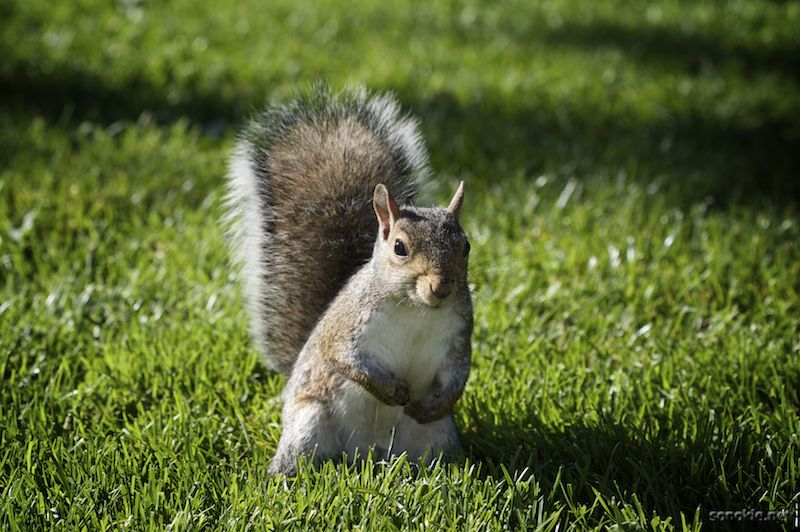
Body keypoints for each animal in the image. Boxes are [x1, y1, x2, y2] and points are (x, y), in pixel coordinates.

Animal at [225, 85, 472, 476]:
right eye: (399, 247)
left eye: (466, 246)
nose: (442, 287)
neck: (416, 310)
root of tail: (368, 453)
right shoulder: (346, 325)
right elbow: (344, 358)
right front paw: (393, 392)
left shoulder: (459, 335)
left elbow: (459, 374)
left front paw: (431, 403)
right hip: (308, 423)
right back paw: (279, 479)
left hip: (438, 436)